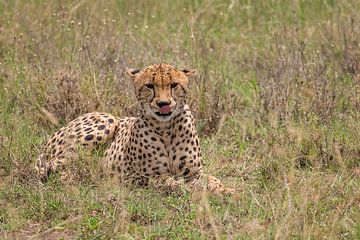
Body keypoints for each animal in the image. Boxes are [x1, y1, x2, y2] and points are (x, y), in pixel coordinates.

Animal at [35, 64, 235, 195]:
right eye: (149, 86)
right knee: (49, 167)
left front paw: (226, 190)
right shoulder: (133, 176)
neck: (166, 128)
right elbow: (164, 180)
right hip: (107, 122)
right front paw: (183, 187)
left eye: (174, 85)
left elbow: (212, 179)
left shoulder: (193, 173)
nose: (163, 104)